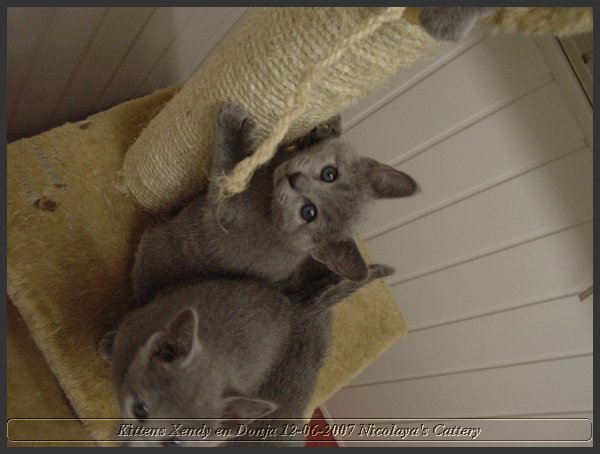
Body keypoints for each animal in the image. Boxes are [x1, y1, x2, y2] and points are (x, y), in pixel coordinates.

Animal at [101, 264, 392, 446]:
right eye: (140, 410)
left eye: (173, 443)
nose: (128, 445)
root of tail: (290, 307)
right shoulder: (136, 325)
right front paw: (108, 343)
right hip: (200, 286)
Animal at [132, 101, 418, 304]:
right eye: (330, 174)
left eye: (308, 212)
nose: (294, 179)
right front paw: (325, 128)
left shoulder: (228, 211)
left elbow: (227, 173)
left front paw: (235, 125)